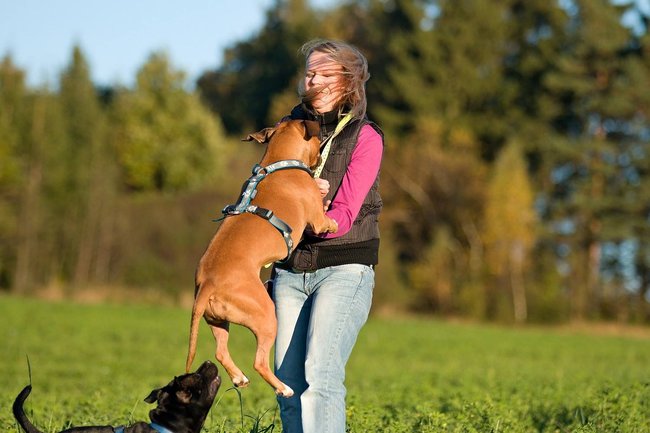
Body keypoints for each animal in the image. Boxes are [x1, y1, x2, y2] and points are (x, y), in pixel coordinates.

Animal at [185, 118, 336, 394]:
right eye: (318, 139)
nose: (321, 154)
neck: (278, 162)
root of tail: (208, 283)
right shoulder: (316, 220)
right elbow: (324, 221)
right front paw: (333, 219)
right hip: (266, 316)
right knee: (260, 362)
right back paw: (283, 388)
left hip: (216, 319)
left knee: (221, 351)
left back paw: (238, 377)